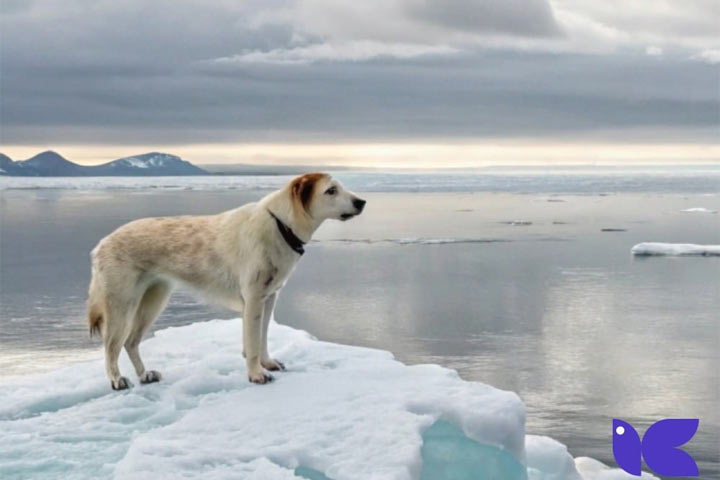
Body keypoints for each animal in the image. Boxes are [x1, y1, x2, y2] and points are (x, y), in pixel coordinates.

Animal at [86, 172, 366, 390]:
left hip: (154, 298)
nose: (362, 201)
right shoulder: (253, 298)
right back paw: (117, 379)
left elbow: (263, 337)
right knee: (111, 345)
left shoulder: (269, 297)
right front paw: (256, 374)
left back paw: (145, 375)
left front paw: (267, 363)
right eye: (331, 190)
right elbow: (252, 342)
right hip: (122, 303)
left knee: (131, 341)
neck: (281, 225)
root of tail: (101, 244)